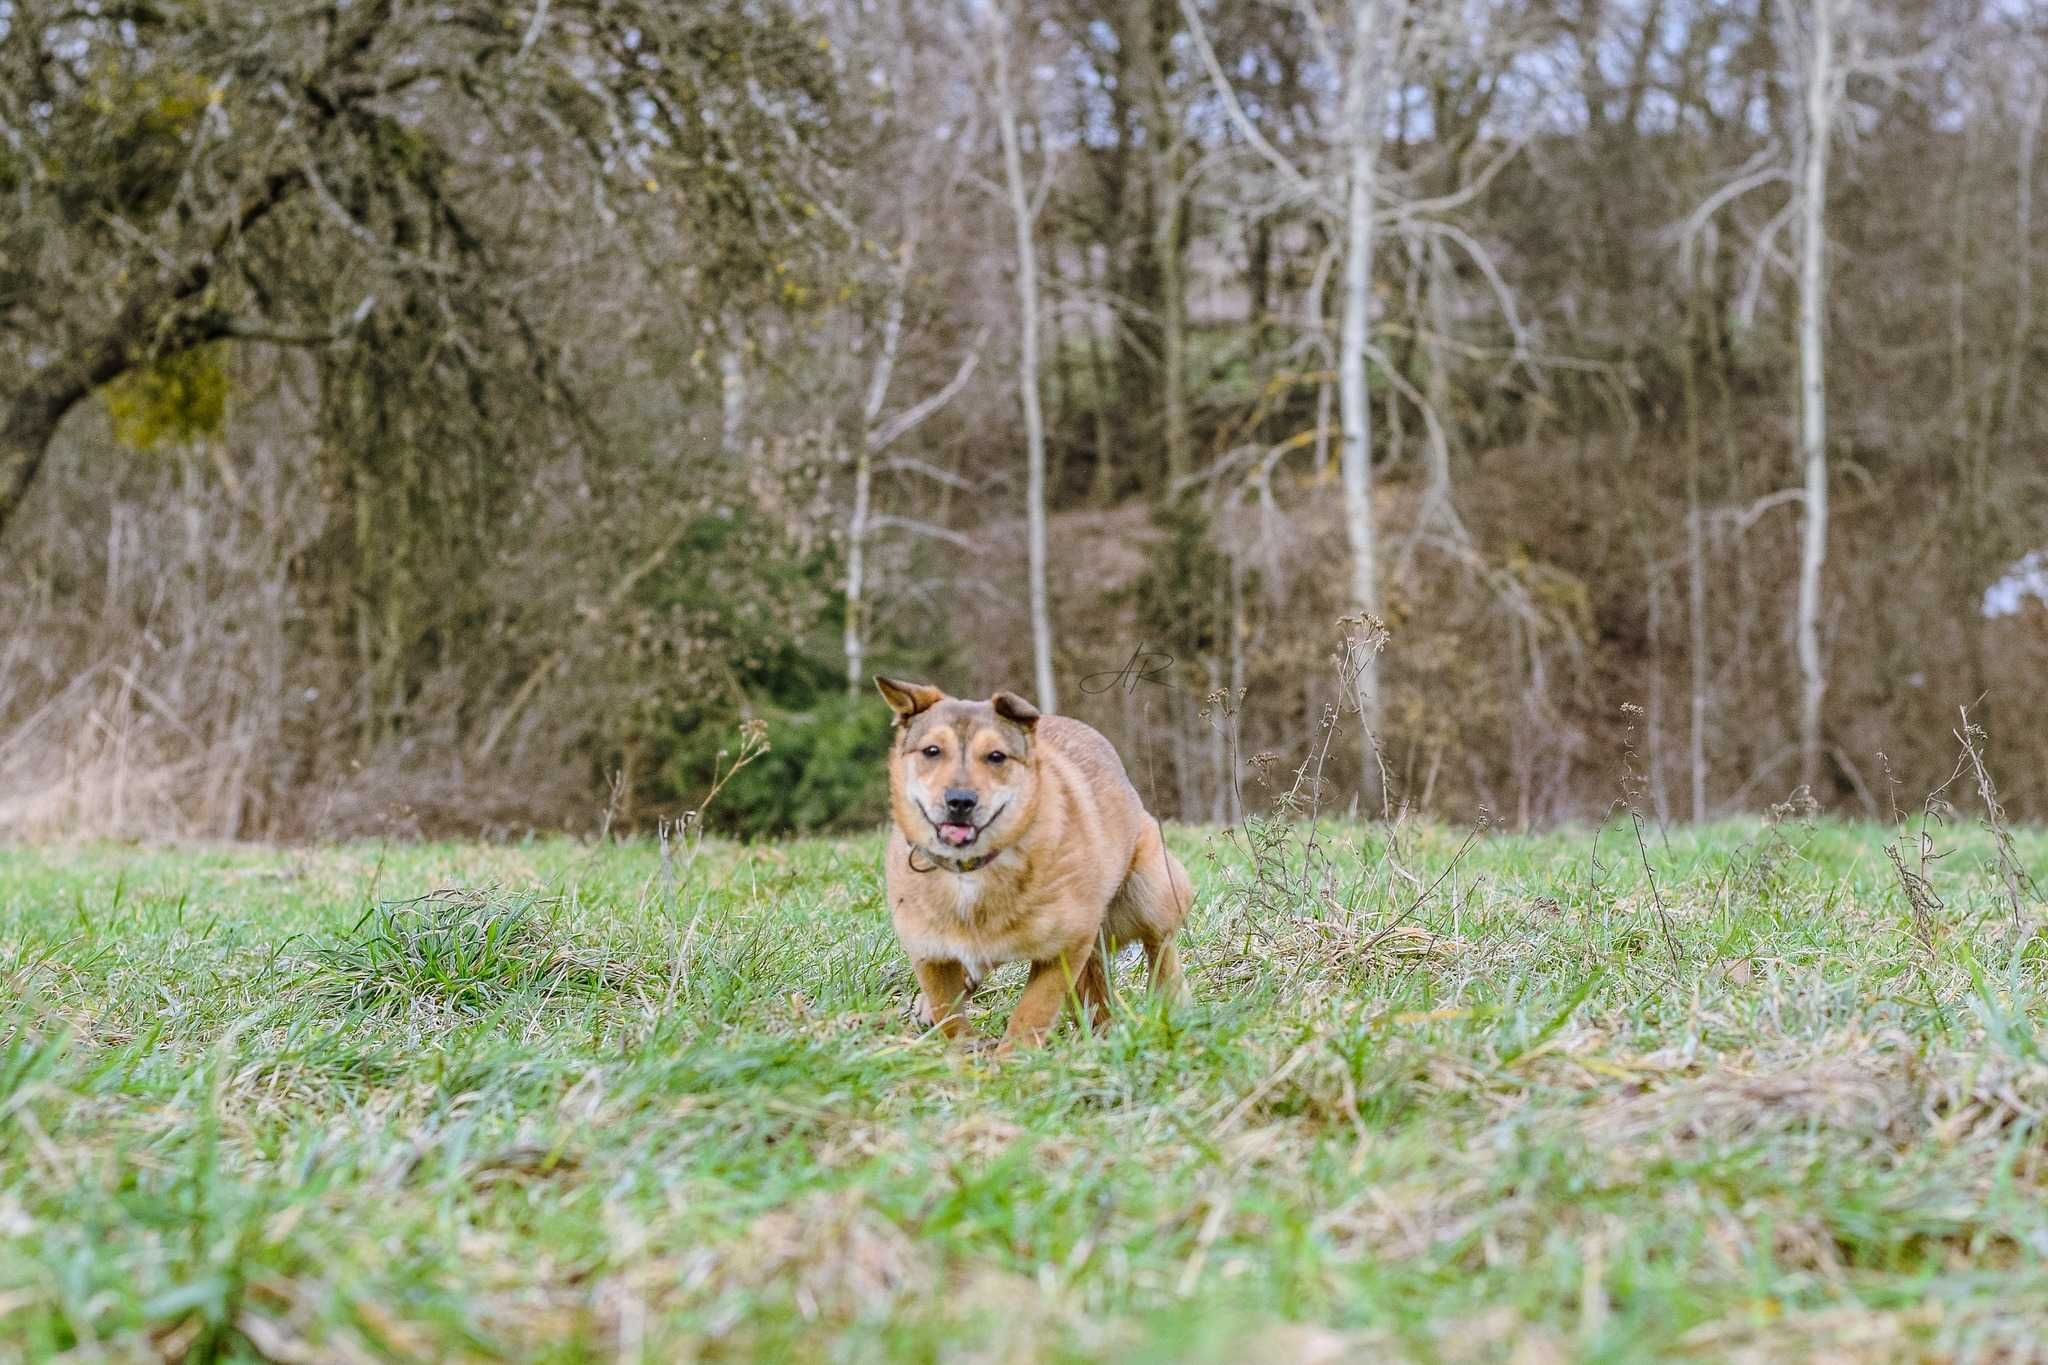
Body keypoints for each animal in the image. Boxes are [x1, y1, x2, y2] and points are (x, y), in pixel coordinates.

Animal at [872, 679, 1196, 1055]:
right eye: (932, 751)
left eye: (996, 756)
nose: (960, 801)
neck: (971, 870)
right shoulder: (930, 954)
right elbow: (948, 1014)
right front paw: (963, 1052)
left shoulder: (1067, 947)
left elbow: (1033, 1011)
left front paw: (1011, 1059)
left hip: (1151, 892)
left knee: (1161, 950)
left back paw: (1170, 1005)